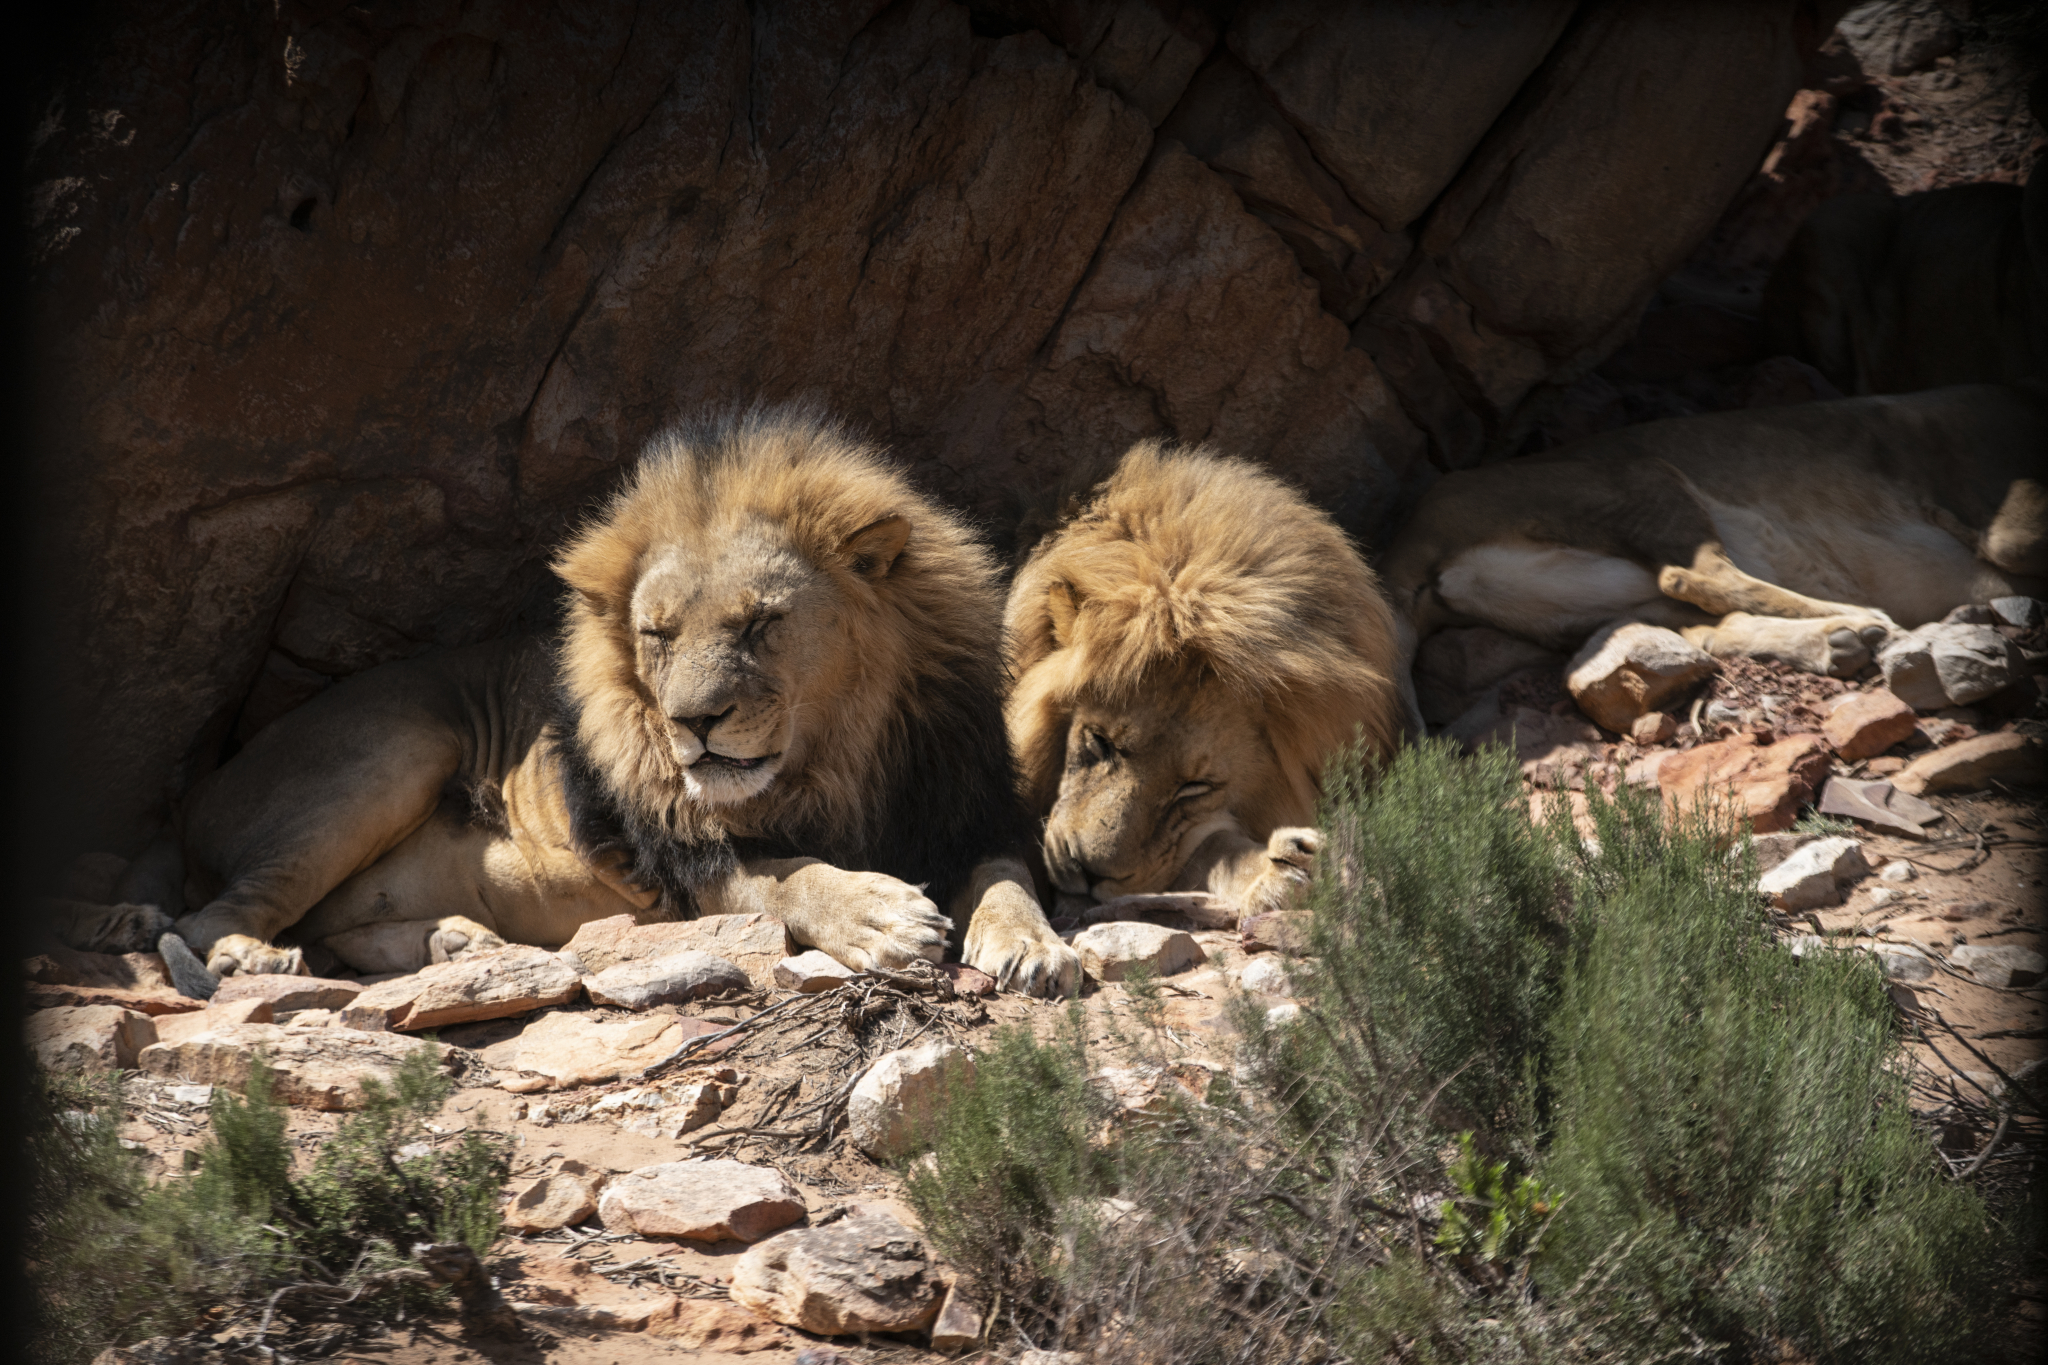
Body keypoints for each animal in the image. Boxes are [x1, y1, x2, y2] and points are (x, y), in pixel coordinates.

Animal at [112, 411, 1081, 998]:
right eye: (656, 634)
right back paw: (253, 954)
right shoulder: (683, 860)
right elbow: (789, 874)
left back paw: (464, 945)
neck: (835, 763)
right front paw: (880, 915)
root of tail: (191, 793)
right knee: (210, 914)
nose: (693, 723)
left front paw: (1034, 945)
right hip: (396, 749)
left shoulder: (970, 805)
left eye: (761, 623)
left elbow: (1007, 876)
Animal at [1376, 378, 2048, 732]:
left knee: (1705, 626)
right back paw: (1865, 624)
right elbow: (2012, 541)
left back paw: (1840, 642)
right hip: (1638, 477)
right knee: (1699, 578)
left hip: (1586, 603)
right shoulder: (1993, 499)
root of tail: (1406, 537)